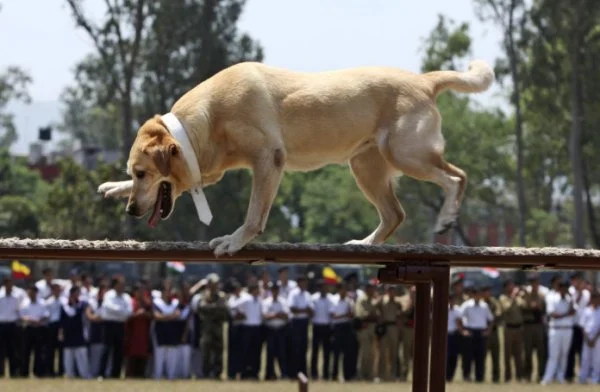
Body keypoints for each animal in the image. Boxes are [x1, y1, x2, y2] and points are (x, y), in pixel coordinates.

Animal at [97, 59, 492, 256]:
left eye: (143, 173)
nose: (131, 211)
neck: (206, 119)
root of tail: (423, 80)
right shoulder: (213, 169)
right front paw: (113, 186)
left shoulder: (268, 159)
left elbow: (254, 215)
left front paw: (232, 242)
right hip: (365, 165)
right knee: (395, 214)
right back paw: (363, 244)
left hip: (406, 152)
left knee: (456, 176)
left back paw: (447, 216)